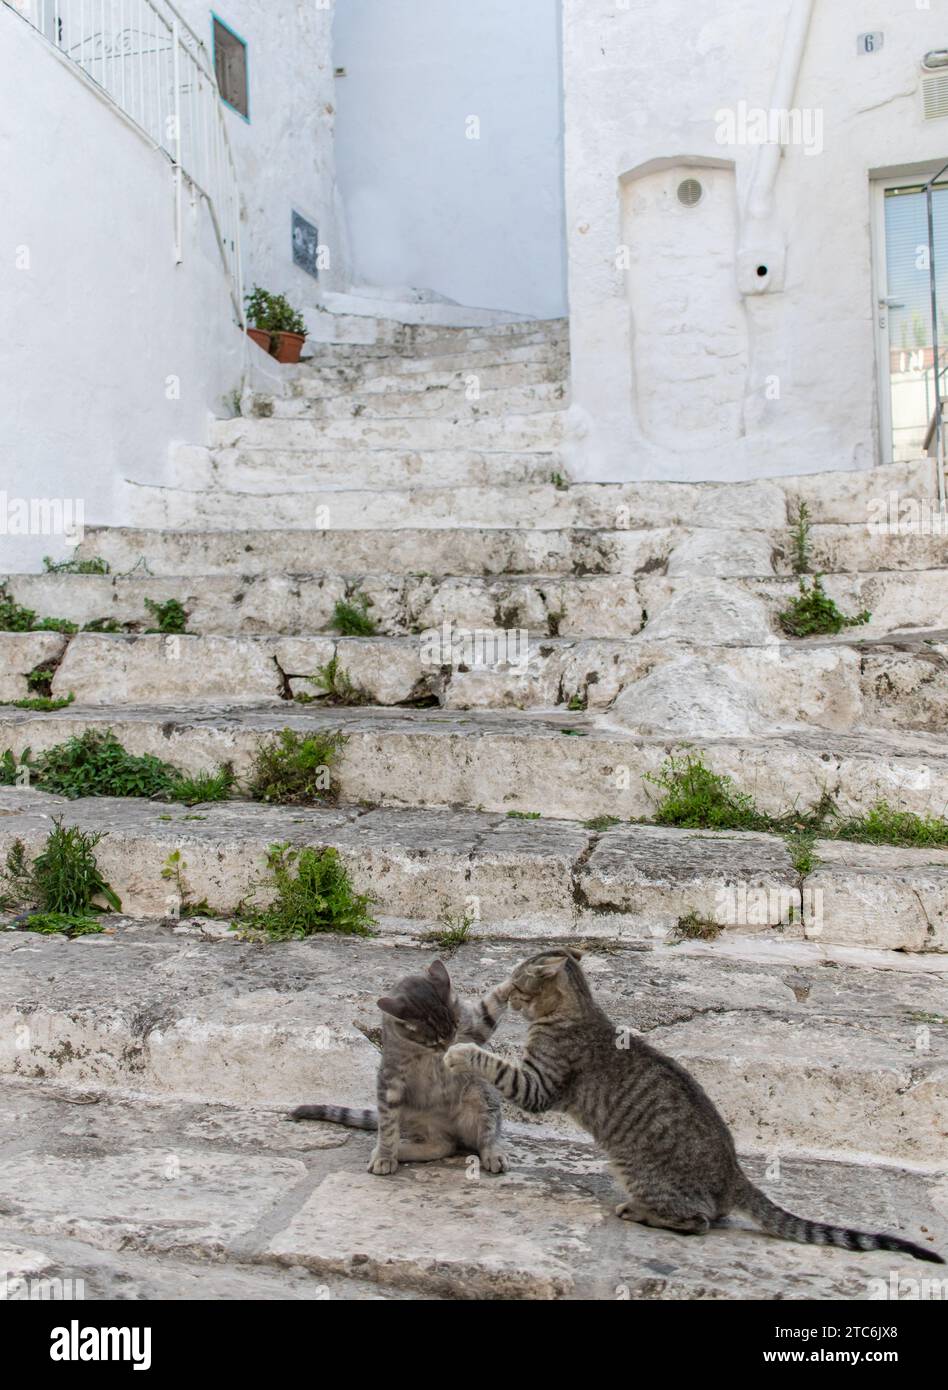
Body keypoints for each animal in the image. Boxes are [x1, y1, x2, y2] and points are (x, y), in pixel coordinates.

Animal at [287, 961, 508, 1178]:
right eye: (435, 1041)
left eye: (456, 1026)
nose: (449, 1046)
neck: (424, 1052)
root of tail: (454, 1129)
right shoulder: (390, 1080)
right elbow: (387, 1127)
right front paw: (385, 1156)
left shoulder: (475, 1029)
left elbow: (491, 1005)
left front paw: (516, 977)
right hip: (418, 1117)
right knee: (442, 1146)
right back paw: (393, 1151)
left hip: (480, 1093)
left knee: (486, 1135)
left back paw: (493, 1153)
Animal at [442, 950, 939, 1267]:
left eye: (521, 982)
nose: (510, 989)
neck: (576, 1011)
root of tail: (734, 1173)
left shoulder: (540, 1084)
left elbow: (493, 1063)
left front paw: (462, 1051)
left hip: (637, 1168)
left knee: (698, 1220)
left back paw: (640, 1212)